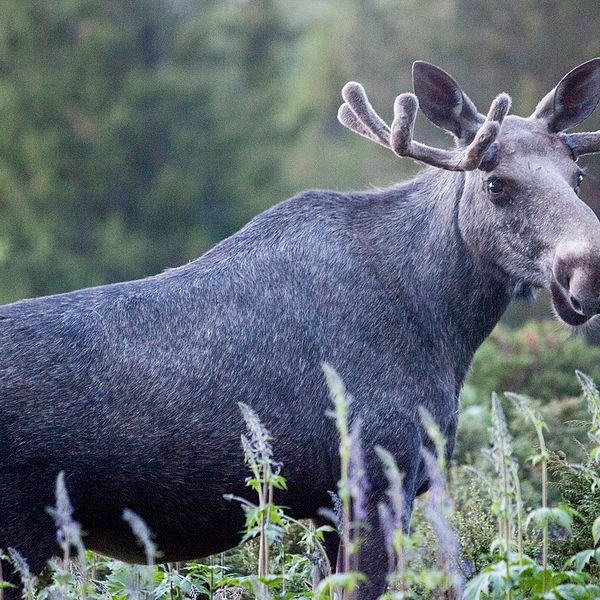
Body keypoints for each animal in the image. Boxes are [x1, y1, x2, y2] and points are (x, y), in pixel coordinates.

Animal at [2, 57, 600, 600]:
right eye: (496, 184)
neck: (444, 326)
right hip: (19, 539)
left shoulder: (328, 508)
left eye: (578, 177)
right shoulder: (375, 480)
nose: (587, 271)